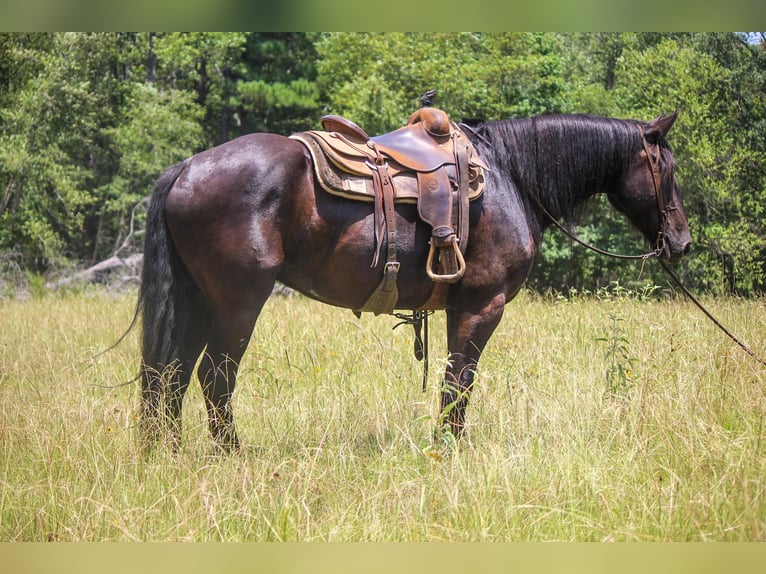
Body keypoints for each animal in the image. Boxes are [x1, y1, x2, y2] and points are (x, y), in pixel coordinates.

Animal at [138, 110, 696, 452]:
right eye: (667, 169)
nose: (683, 240)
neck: (512, 176)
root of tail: (187, 167)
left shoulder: (457, 308)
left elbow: (454, 380)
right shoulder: (482, 304)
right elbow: (460, 381)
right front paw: (449, 449)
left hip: (196, 301)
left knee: (170, 376)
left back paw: (169, 454)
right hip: (237, 304)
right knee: (214, 378)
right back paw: (232, 457)